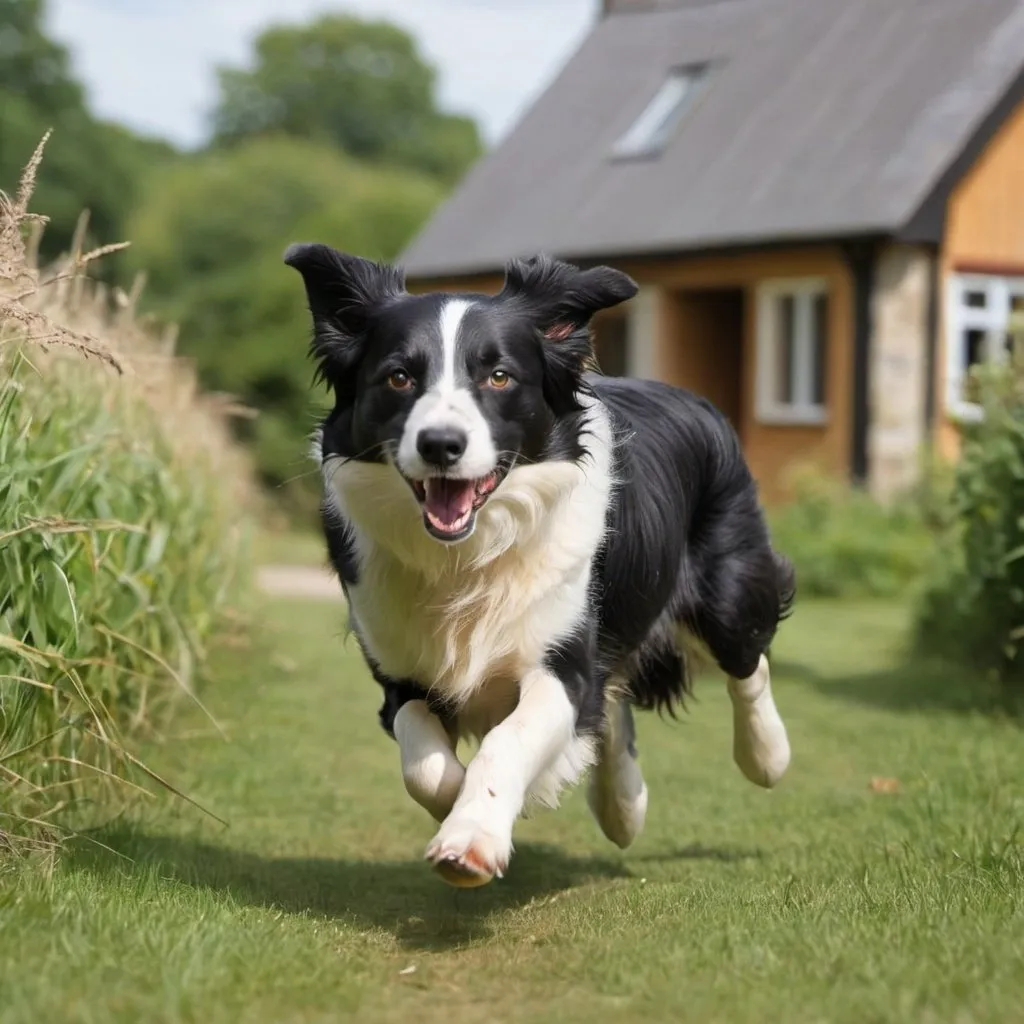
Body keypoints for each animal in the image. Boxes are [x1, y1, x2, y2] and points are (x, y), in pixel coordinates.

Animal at [284, 241, 794, 888]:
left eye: (499, 376)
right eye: (399, 376)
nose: (440, 444)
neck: (469, 554)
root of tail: (696, 398)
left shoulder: (562, 660)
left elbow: (512, 738)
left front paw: (472, 839)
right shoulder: (401, 669)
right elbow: (424, 763)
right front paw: (461, 805)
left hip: (728, 584)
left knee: (747, 660)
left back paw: (766, 756)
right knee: (615, 705)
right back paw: (622, 806)